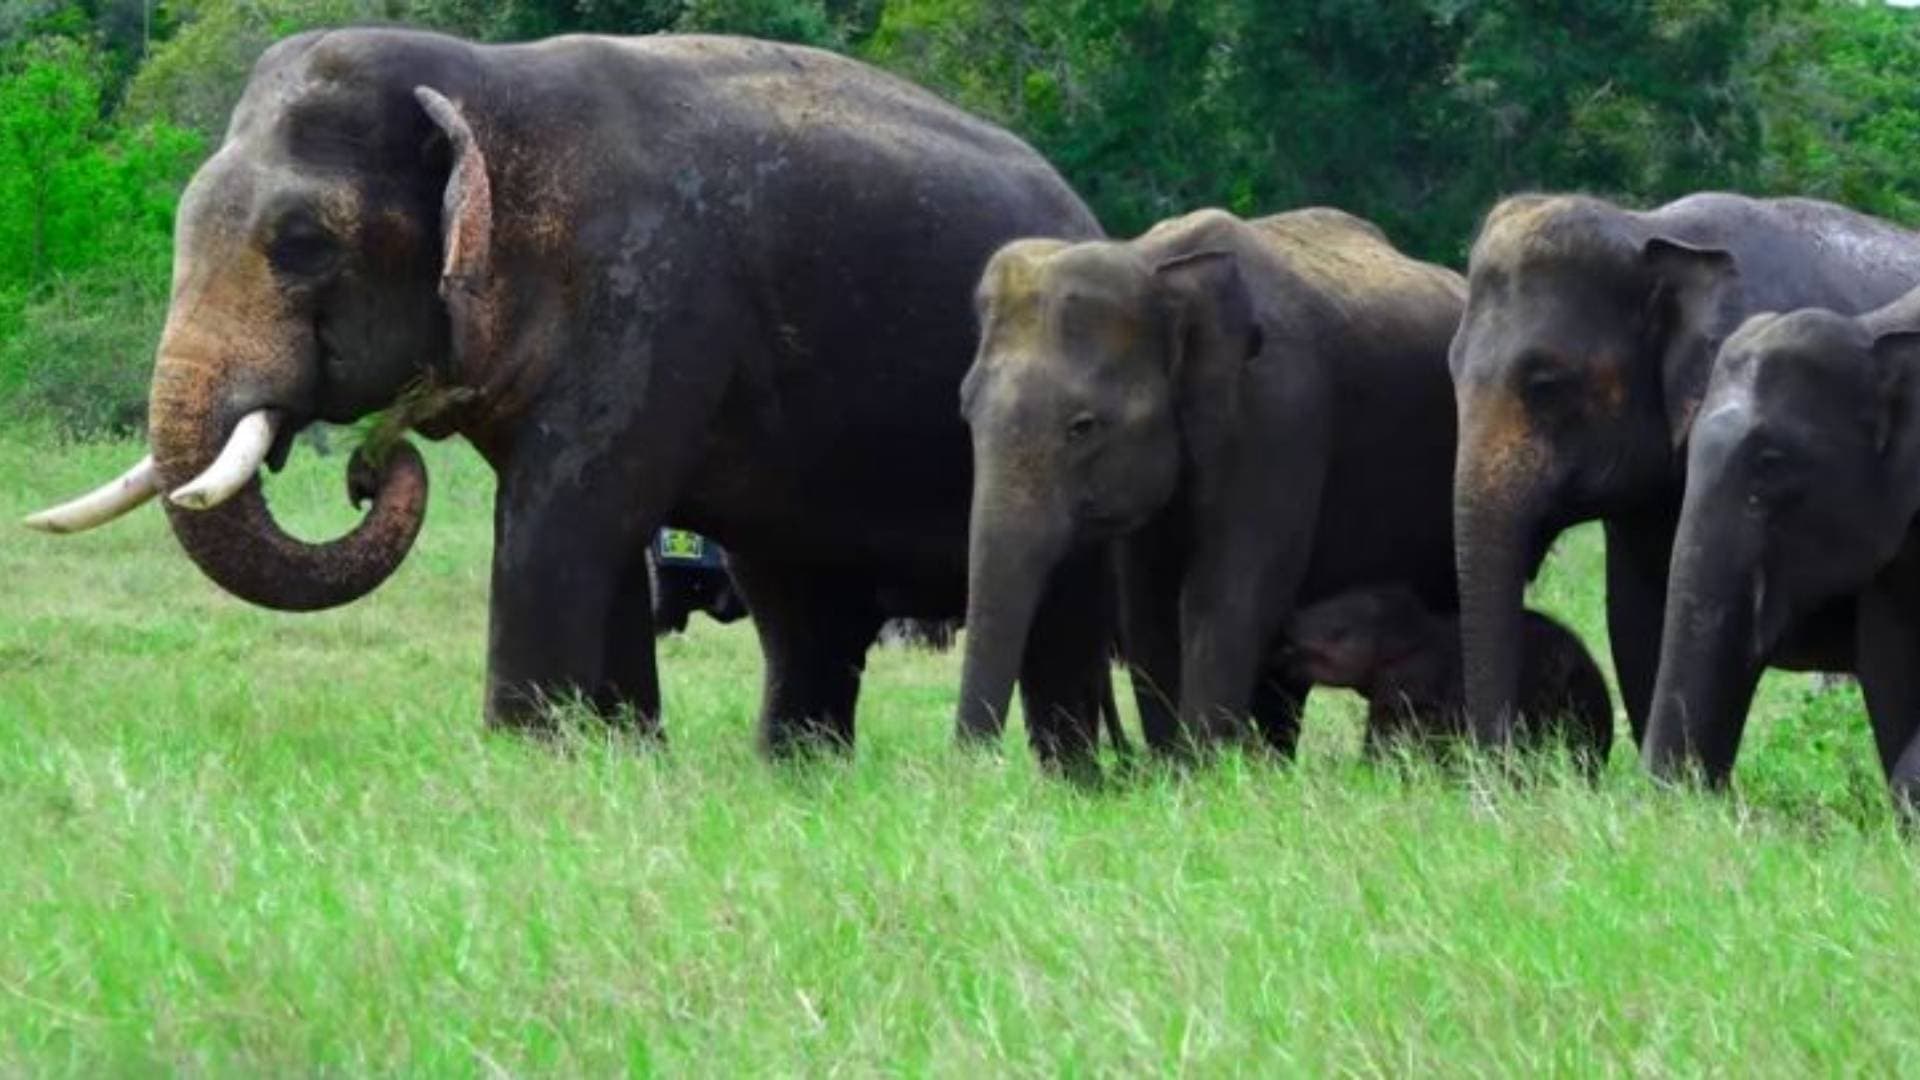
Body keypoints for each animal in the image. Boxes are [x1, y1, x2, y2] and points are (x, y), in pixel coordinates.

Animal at [22, 28, 1106, 756]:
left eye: (301, 244)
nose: (371, 471)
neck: (485, 81)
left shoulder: (651, 297)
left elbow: (567, 514)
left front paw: (522, 755)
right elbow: (603, 537)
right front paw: (619, 757)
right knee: (801, 601)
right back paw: (795, 771)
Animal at [953, 207, 1466, 761]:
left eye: (1082, 426)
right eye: (966, 409)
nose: (973, 765)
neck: (1153, 263)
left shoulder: (1281, 411)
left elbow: (1228, 594)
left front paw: (1203, 766)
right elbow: (1147, 605)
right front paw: (1175, 765)